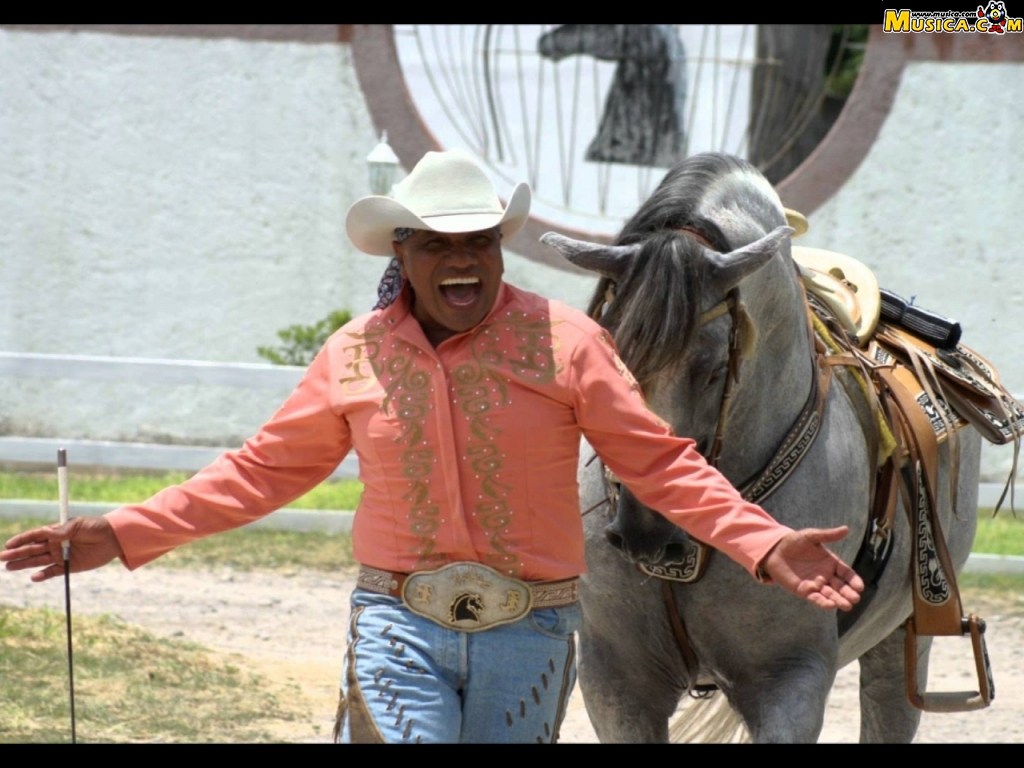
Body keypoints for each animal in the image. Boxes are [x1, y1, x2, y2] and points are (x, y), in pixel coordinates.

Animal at [540, 151, 987, 745]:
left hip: (900, 643)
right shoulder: (616, 682)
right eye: (608, 356)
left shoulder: (789, 681)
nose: (644, 536)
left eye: (712, 369)